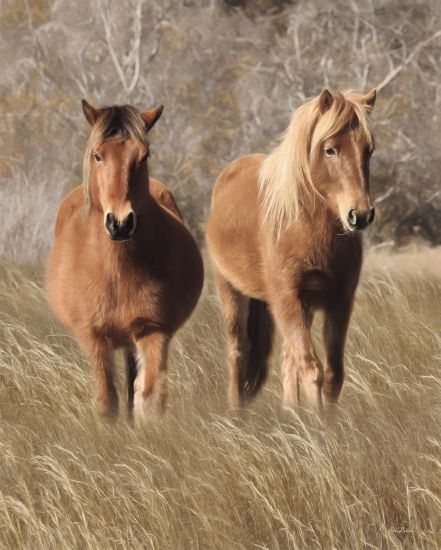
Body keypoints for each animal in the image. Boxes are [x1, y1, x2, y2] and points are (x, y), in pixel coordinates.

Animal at [46, 101, 203, 420]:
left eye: (144, 156)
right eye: (98, 155)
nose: (120, 223)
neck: (115, 269)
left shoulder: (153, 330)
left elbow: (149, 398)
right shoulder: (94, 337)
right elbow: (107, 401)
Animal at [205, 88, 374, 412]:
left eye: (369, 150)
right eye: (330, 150)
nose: (360, 215)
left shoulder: (339, 301)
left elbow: (333, 374)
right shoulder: (287, 299)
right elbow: (311, 369)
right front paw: (317, 422)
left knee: (287, 360)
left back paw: (290, 411)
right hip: (232, 291)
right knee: (238, 351)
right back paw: (236, 413)